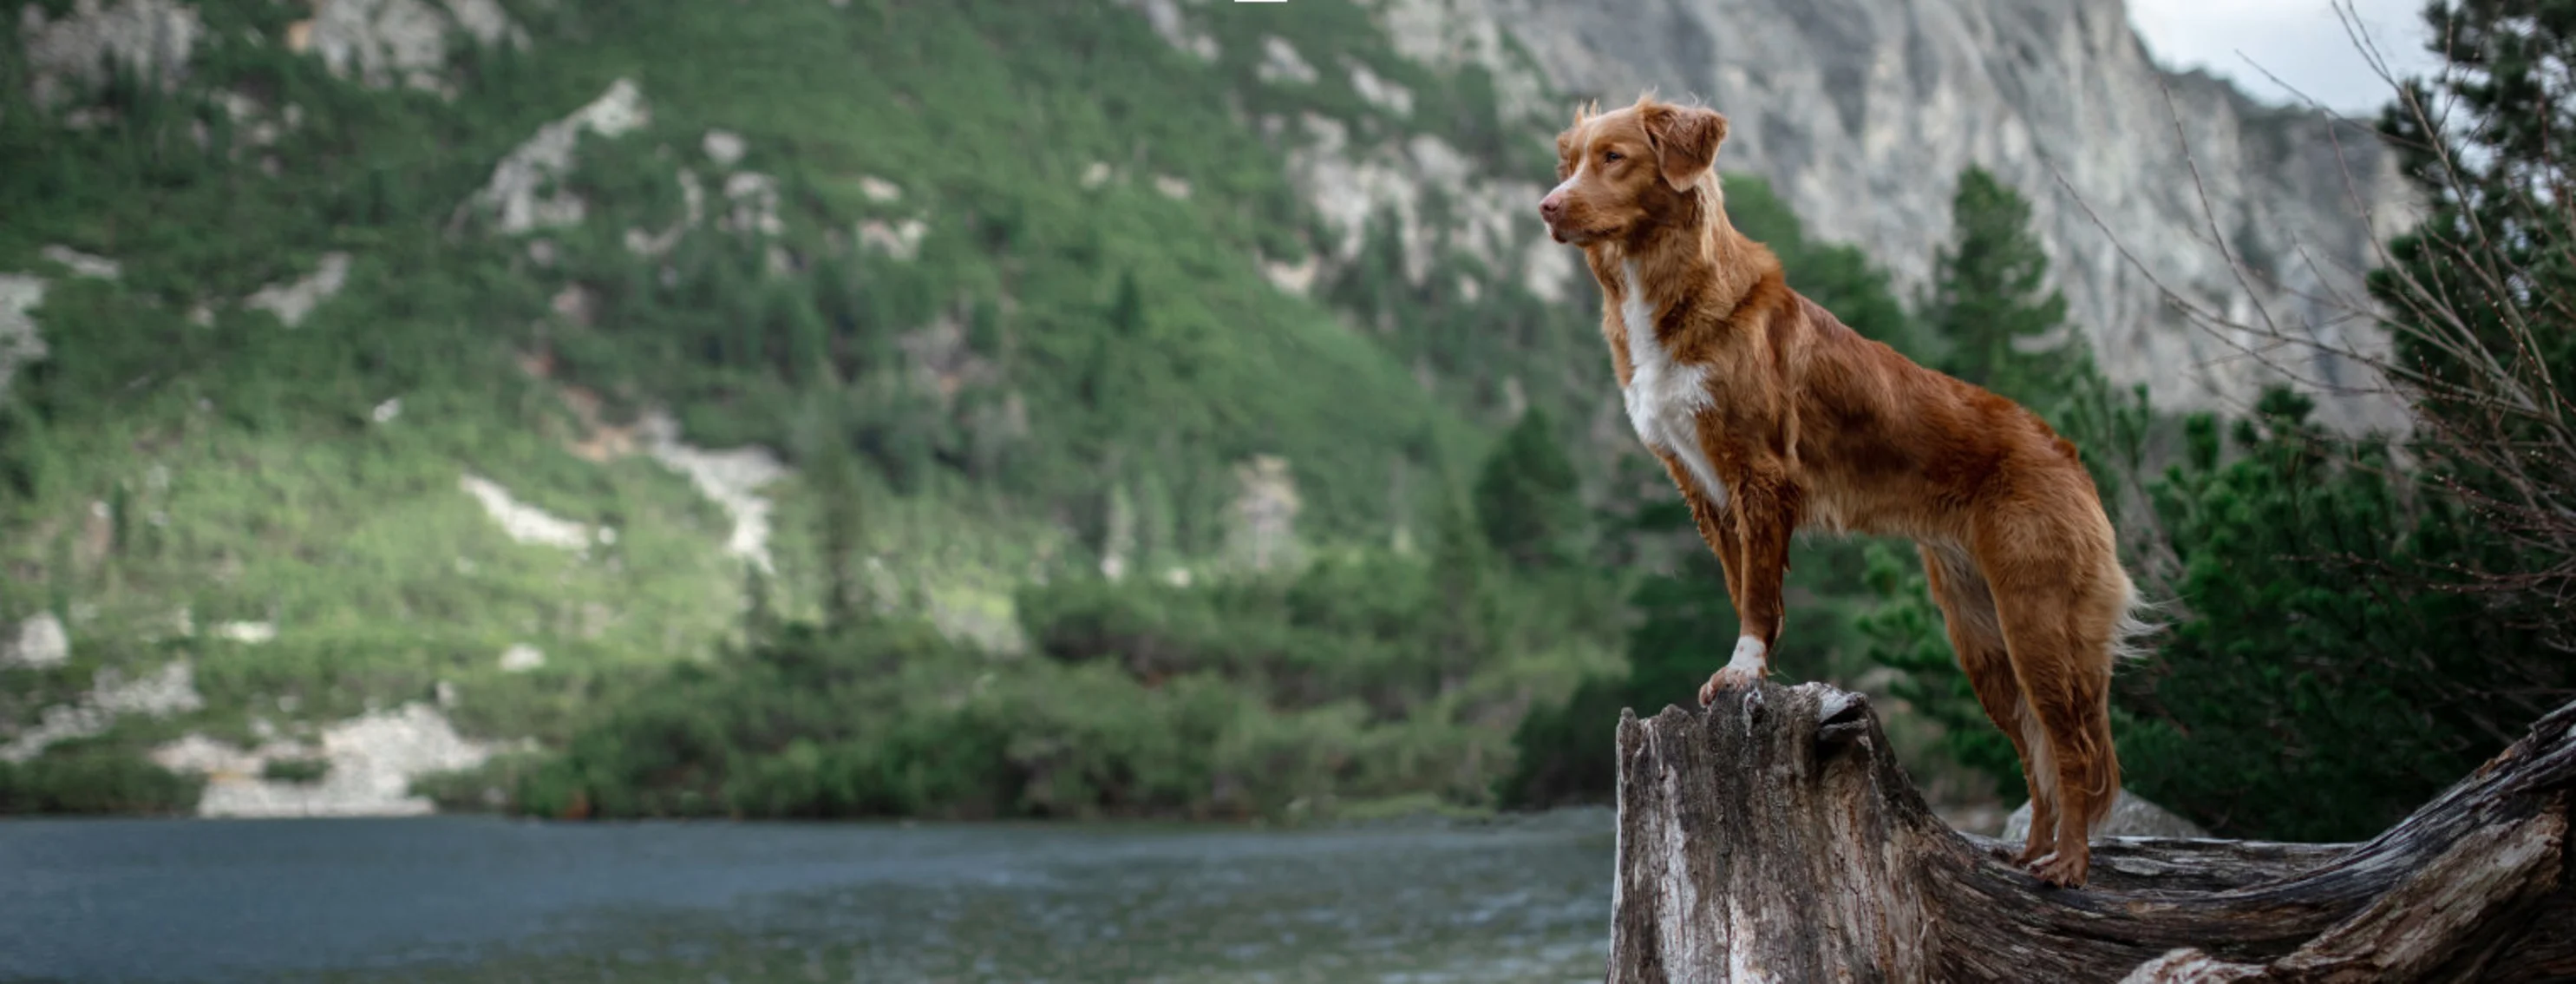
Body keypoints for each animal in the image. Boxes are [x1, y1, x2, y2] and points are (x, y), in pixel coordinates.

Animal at [1535, 94, 2163, 891]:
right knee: (2034, 749)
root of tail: (2067, 453)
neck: (1669, 290)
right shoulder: (1703, 488)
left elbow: (1758, 596)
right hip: (1980, 639)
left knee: (2072, 747)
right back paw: (2030, 853)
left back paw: (2071, 864)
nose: (1548, 207)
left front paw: (1742, 673)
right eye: (1571, 163)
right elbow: (1741, 584)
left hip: (2038, 618)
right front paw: (1746, 671)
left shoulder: (1760, 473)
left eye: (1614, 158)